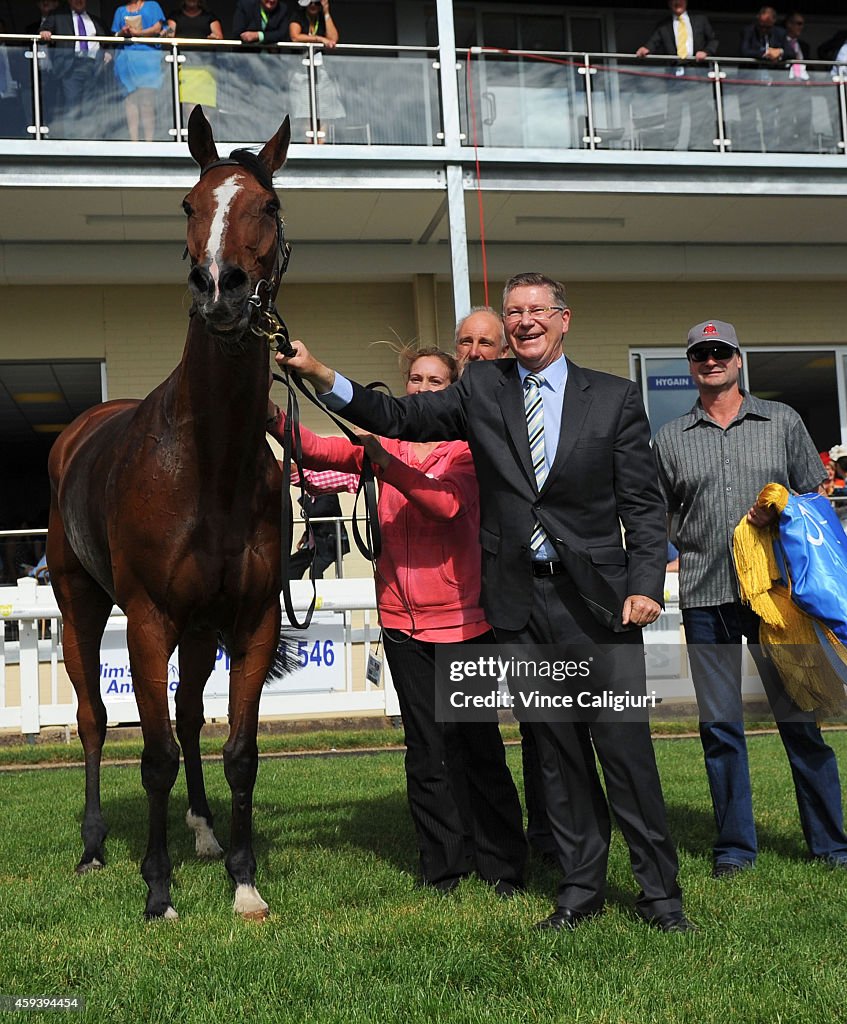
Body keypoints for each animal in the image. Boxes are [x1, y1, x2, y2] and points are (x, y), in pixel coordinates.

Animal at [48, 108, 294, 925]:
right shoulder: (149, 618)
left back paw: (206, 832)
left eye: (267, 206)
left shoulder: (251, 618)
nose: (220, 289)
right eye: (189, 203)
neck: (207, 464)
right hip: (81, 606)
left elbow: (238, 752)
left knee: (188, 717)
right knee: (95, 720)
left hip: (198, 630)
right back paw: (94, 848)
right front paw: (157, 889)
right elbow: (151, 753)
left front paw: (244, 879)